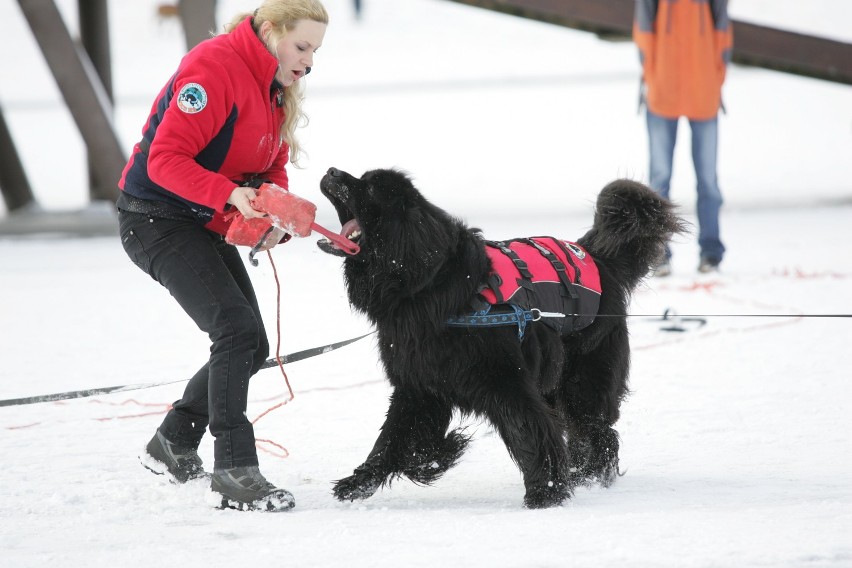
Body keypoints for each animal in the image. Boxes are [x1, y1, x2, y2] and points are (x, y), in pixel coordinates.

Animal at [316, 166, 684, 508]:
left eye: (371, 187)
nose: (332, 171)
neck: (429, 285)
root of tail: (595, 257)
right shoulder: (418, 384)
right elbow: (395, 439)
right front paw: (366, 480)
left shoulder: (506, 382)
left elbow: (531, 431)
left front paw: (546, 493)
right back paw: (580, 474)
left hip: (583, 381)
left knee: (598, 432)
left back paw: (590, 476)